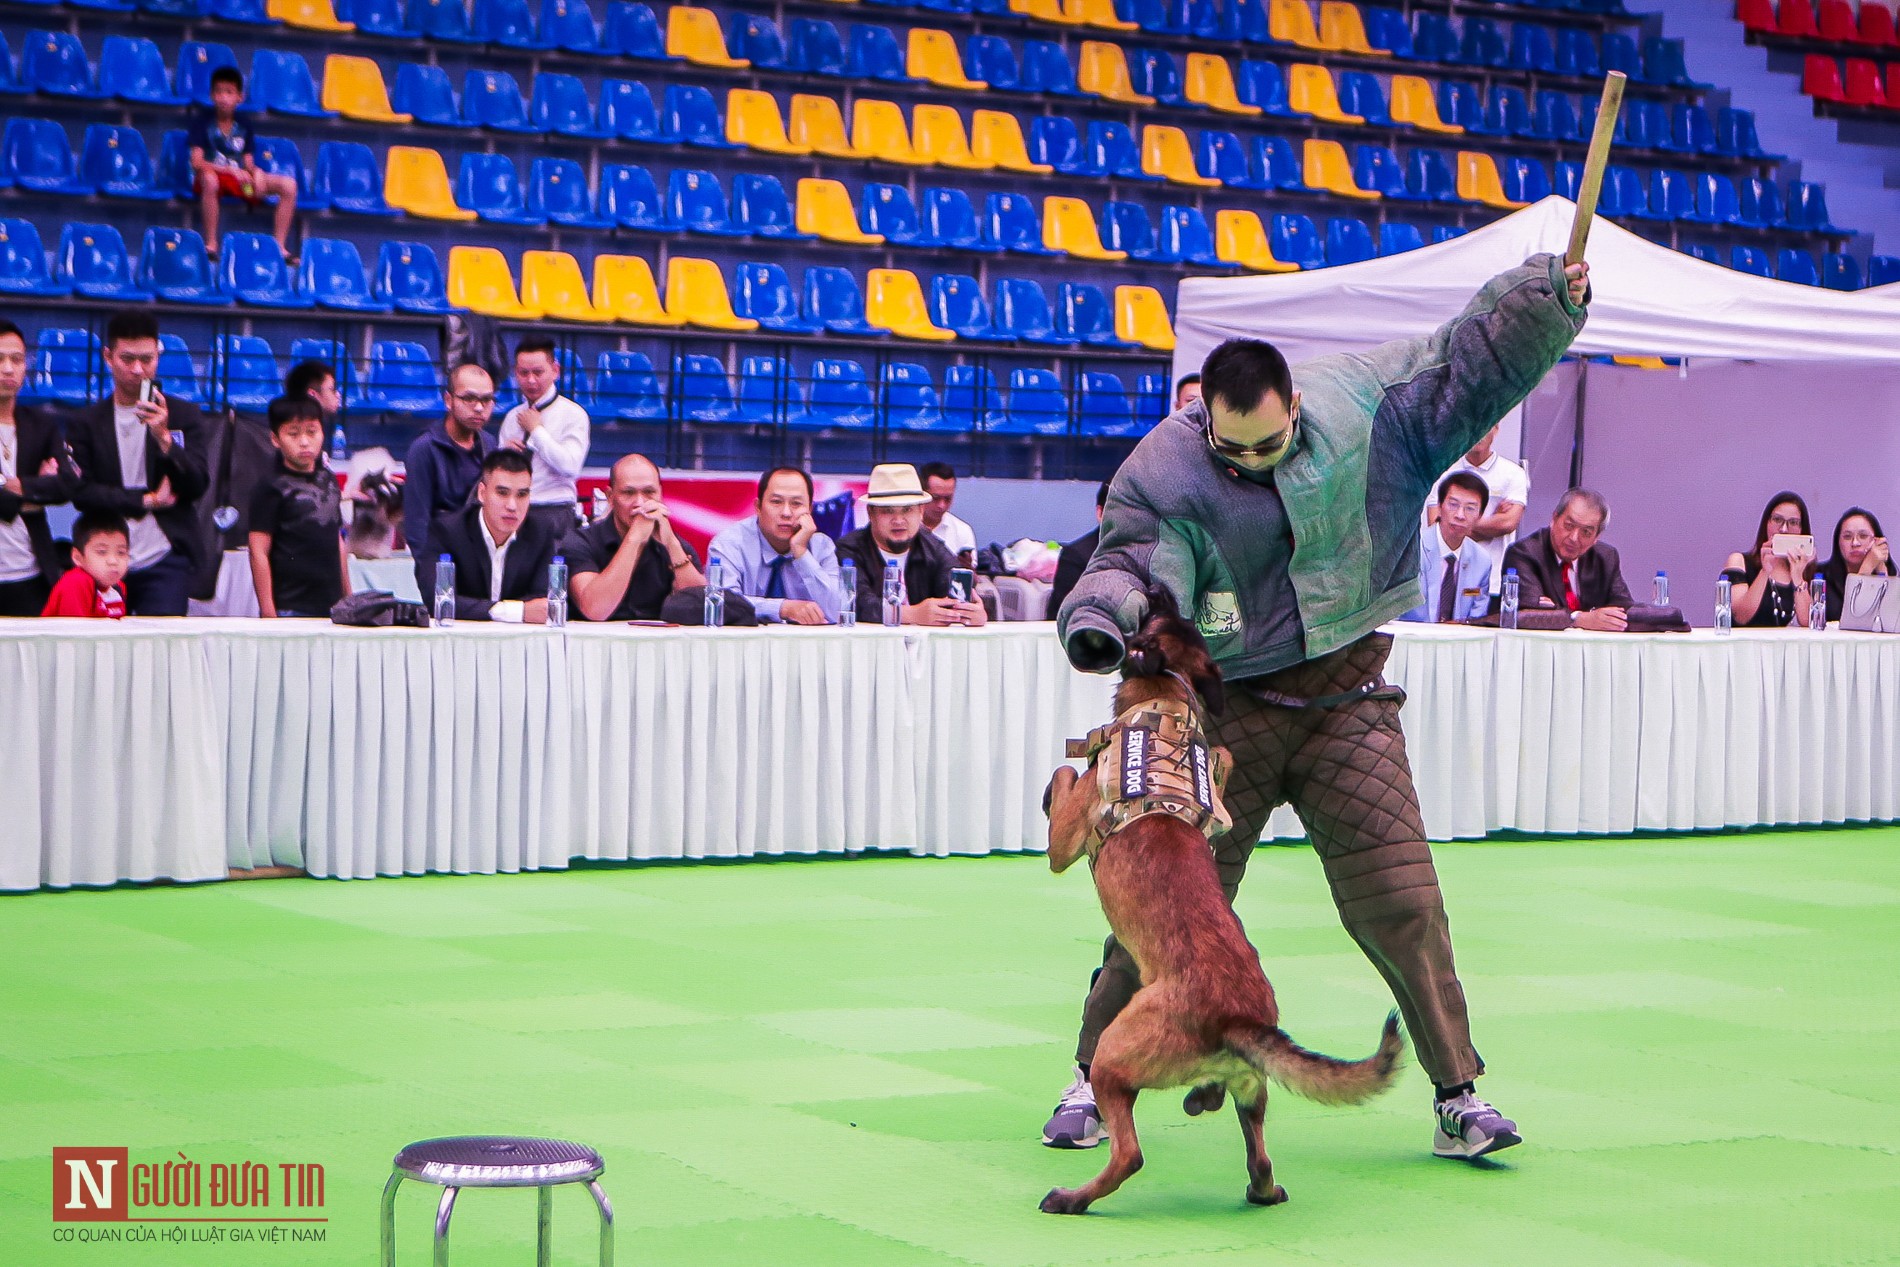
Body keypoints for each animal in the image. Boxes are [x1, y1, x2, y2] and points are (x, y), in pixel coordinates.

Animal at [1033, 596, 1406, 1215]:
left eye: (1151, 620)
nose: (1159, 587)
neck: (1168, 701)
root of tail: (1237, 1019)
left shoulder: (1065, 840)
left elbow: (1066, 773)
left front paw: (1069, 766)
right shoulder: (1222, 763)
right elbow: (1224, 761)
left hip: (1113, 1055)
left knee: (1129, 1156)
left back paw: (1073, 1198)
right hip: (1251, 1091)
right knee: (1259, 1153)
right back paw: (1238, 1150)